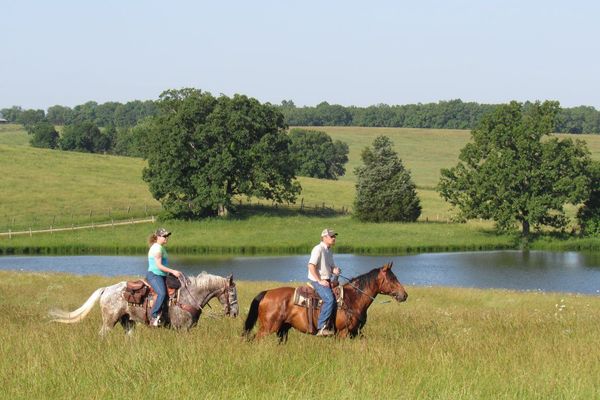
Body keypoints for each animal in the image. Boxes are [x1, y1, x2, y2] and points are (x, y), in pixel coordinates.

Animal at [48, 272, 239, 334]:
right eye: (232, 292)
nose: (236, 312)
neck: (189, 296)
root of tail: (106, 289)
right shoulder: (182, 329)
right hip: (109, 320)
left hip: (127, 321)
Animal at [244, 260, 408, 342]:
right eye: (392, 279)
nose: (404, 295)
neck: (354, 299)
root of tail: (266, 293)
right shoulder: (343, 333)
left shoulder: (355, 332)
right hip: (268, 328)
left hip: (283, 329)